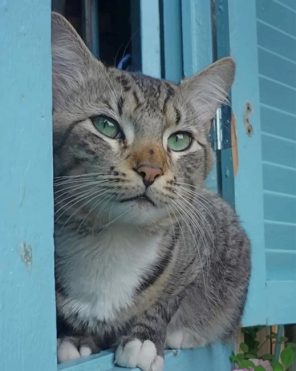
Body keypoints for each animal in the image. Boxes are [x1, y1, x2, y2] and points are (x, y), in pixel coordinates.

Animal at [52, 11, 250, 371]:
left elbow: (170, 297)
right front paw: (75, 339)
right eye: (106, 126)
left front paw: (143, 340)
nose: (151, 171)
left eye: (180, 140)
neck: (114, 238)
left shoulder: (204, 249)